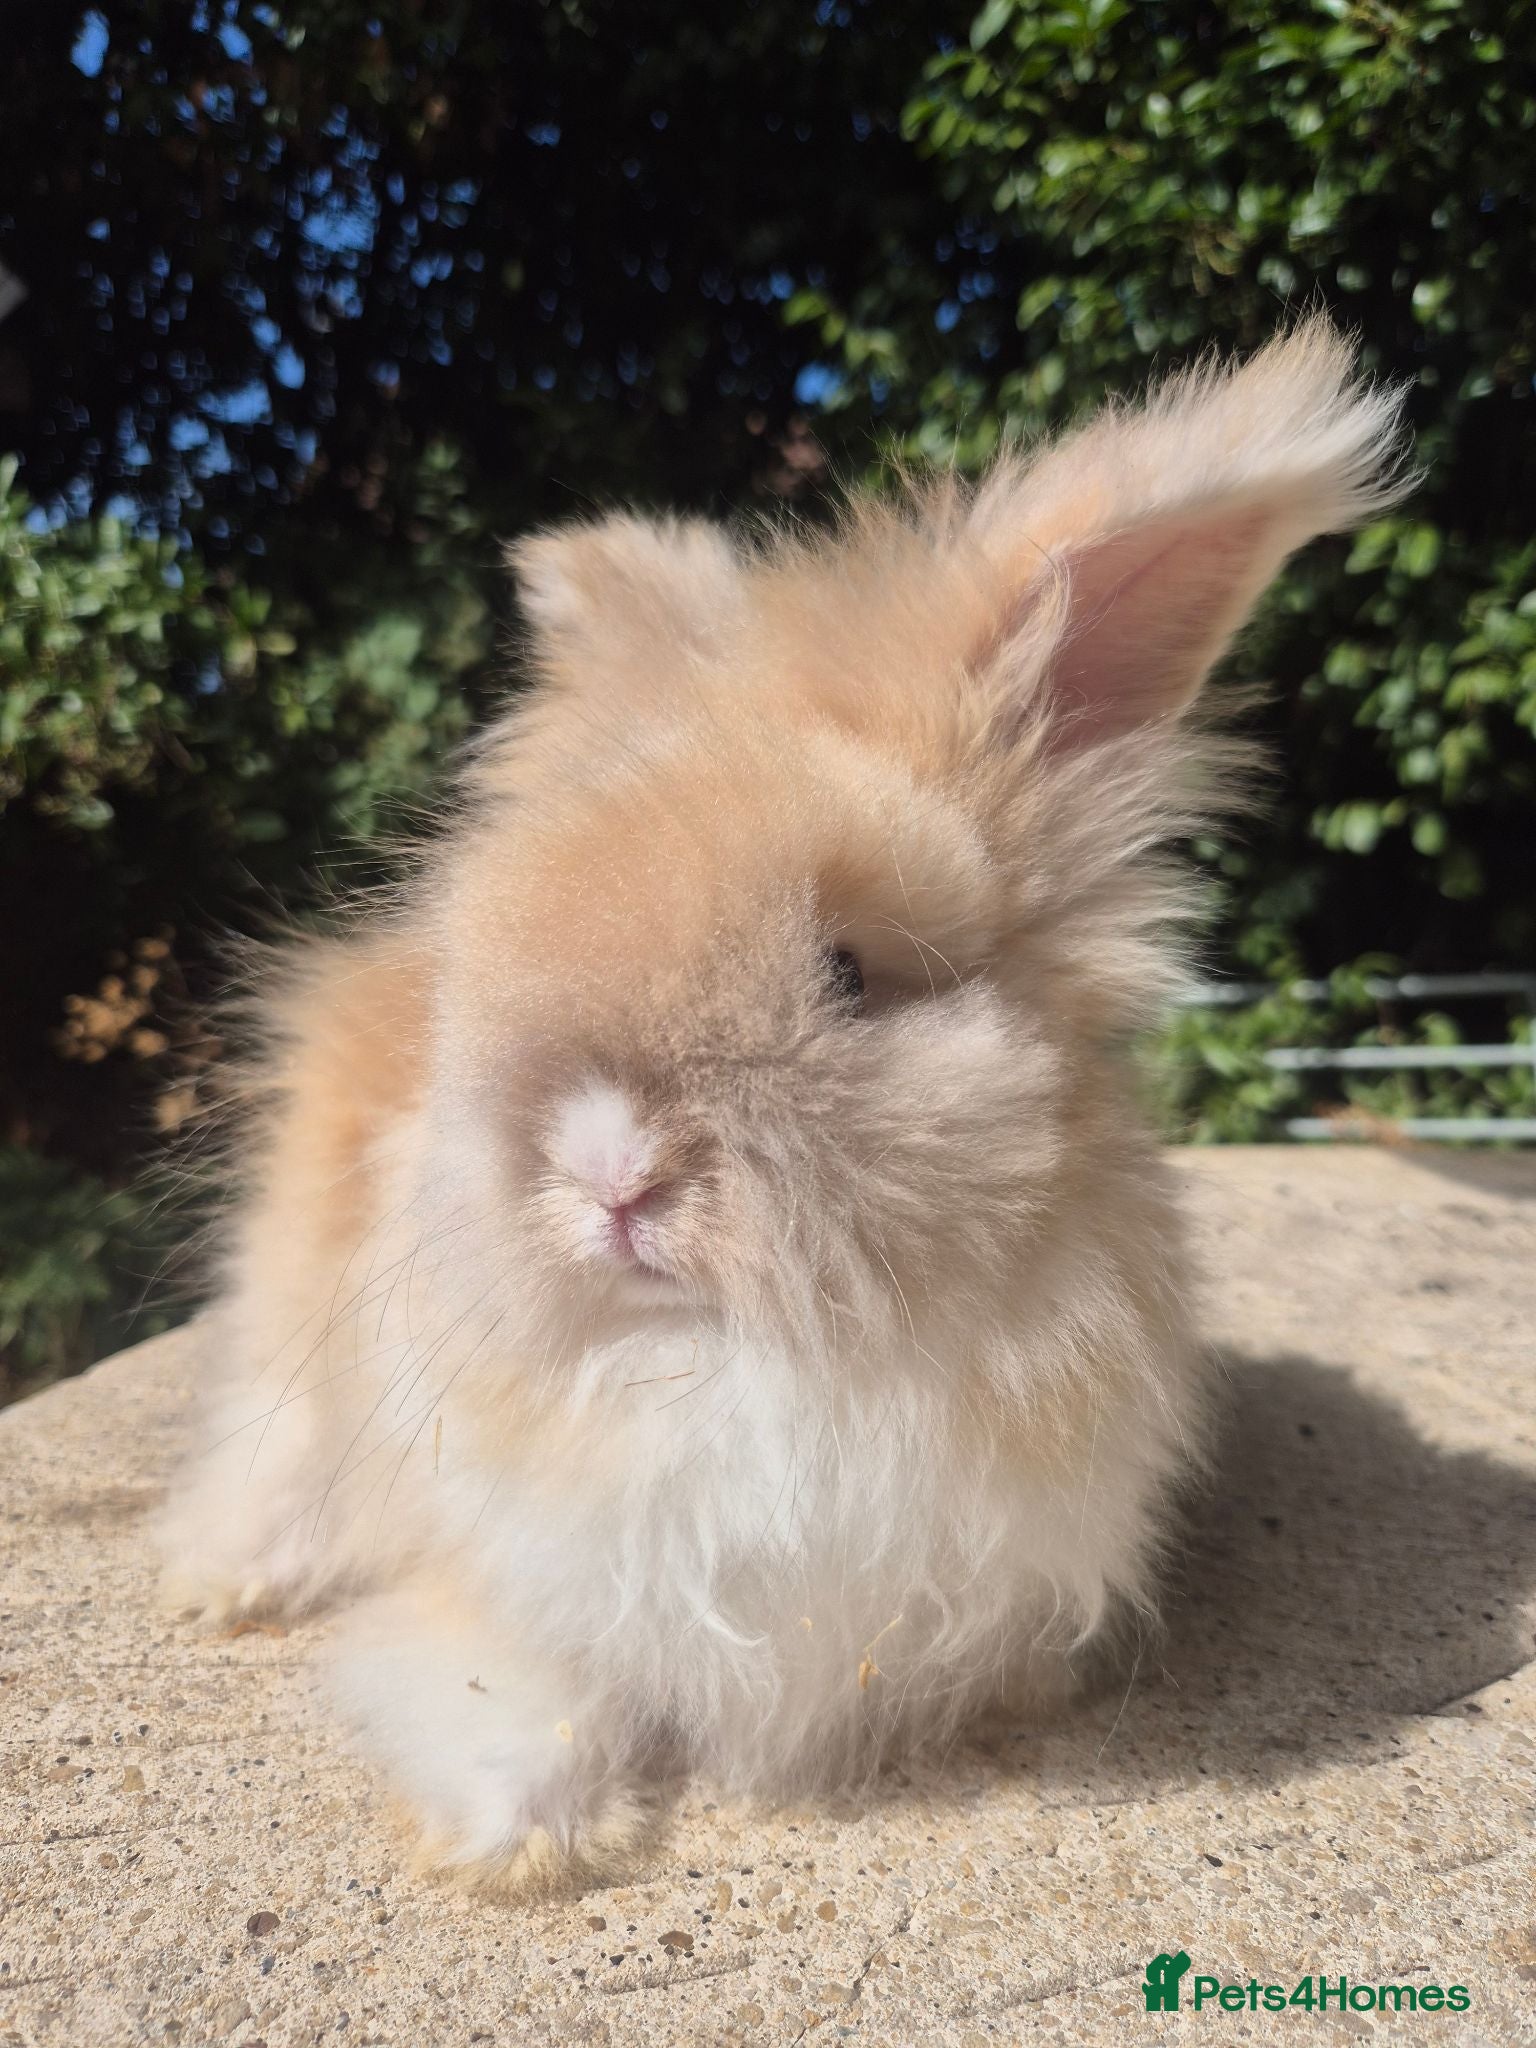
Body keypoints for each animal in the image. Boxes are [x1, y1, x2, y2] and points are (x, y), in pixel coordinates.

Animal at [160, 318, 1408, 1895]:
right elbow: (521, 1683)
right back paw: (223, 1583)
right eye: (488, 960)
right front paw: (524, 1840)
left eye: (849, 973)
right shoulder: (501, 1564)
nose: (609, 1170)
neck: (736, 1365)